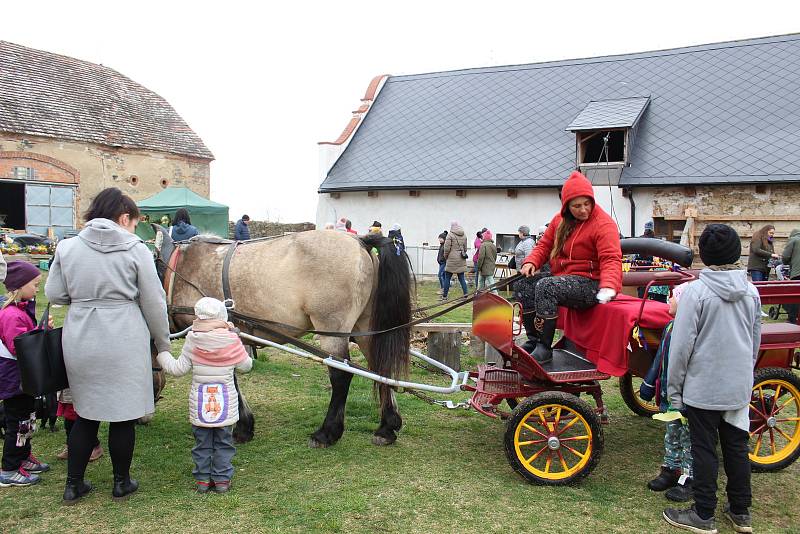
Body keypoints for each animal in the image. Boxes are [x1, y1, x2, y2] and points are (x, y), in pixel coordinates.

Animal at [152, 228, 412, 450]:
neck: (178, 269)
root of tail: (360, 241)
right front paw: (244, 424)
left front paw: (242, 427)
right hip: (366, 328)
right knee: (380, 368)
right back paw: (387, 427)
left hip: (332, 330)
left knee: (342, 376)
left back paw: (327, 433)